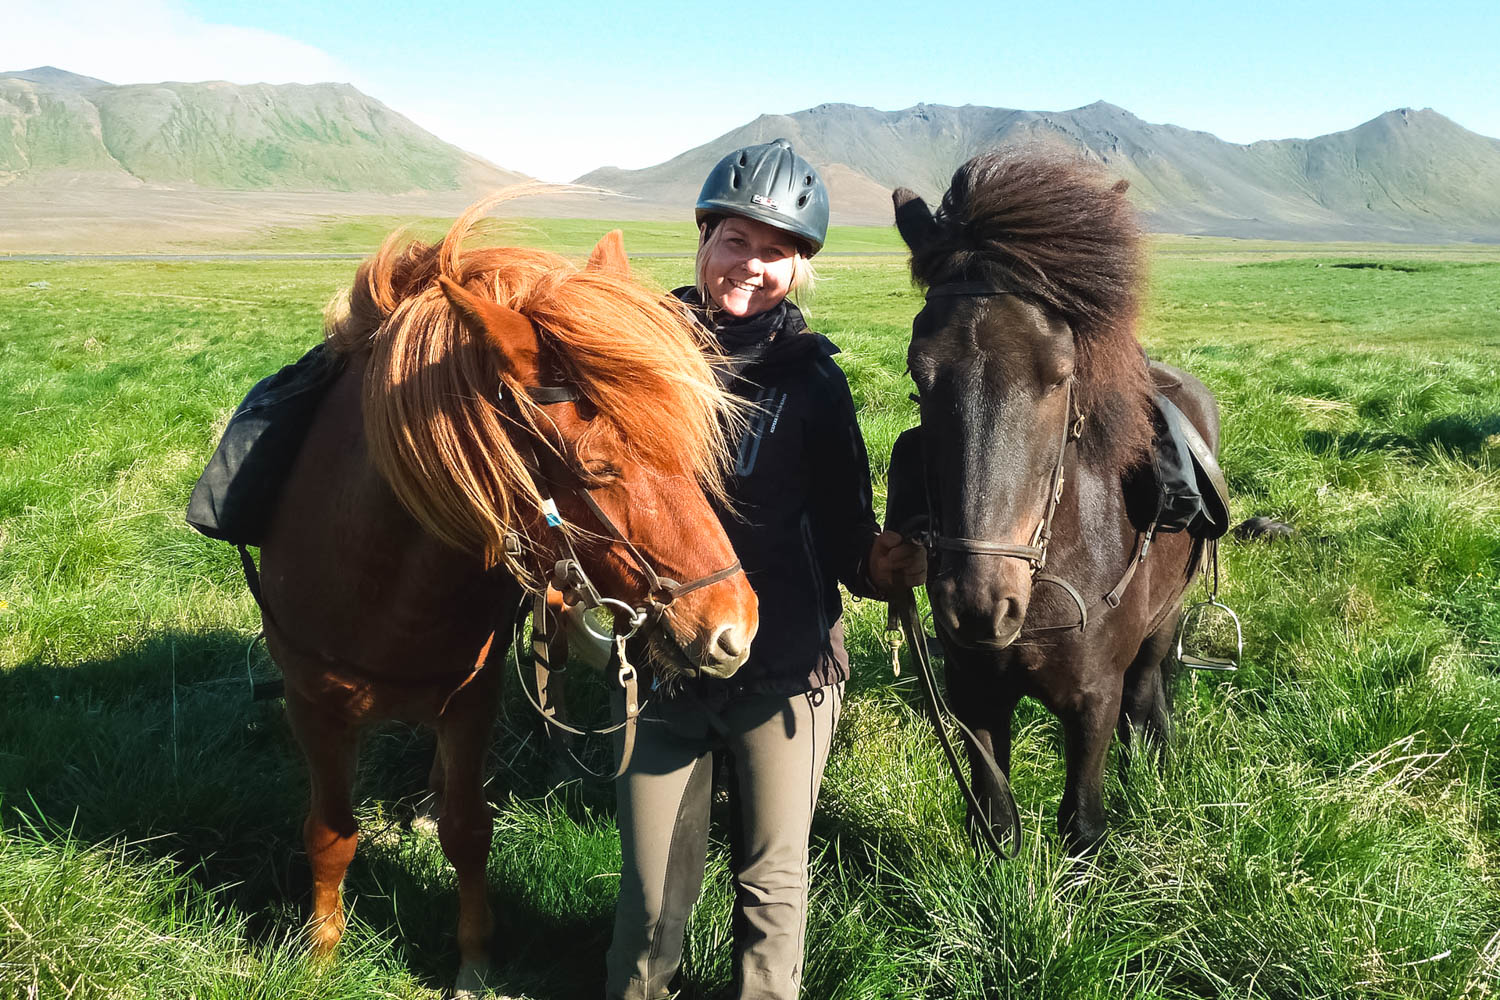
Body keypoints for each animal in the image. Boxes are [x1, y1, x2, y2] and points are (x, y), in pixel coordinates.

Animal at [255, 200, 759, 994]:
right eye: (597, 468)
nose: (734, 630)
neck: (381, 593)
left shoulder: (473, 698)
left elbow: (469, 829)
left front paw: (474, 960)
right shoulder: (311, 703)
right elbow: (330, 833)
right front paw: (322, 951)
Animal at [889, 152, 1221, 854]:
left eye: (1062, 374)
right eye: (918, 372)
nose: (981, 605)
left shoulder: (1092, 700)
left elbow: (1082, 825)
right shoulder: (975, 695)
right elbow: (995, 822)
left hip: (1167, 619)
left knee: (1147, 695)